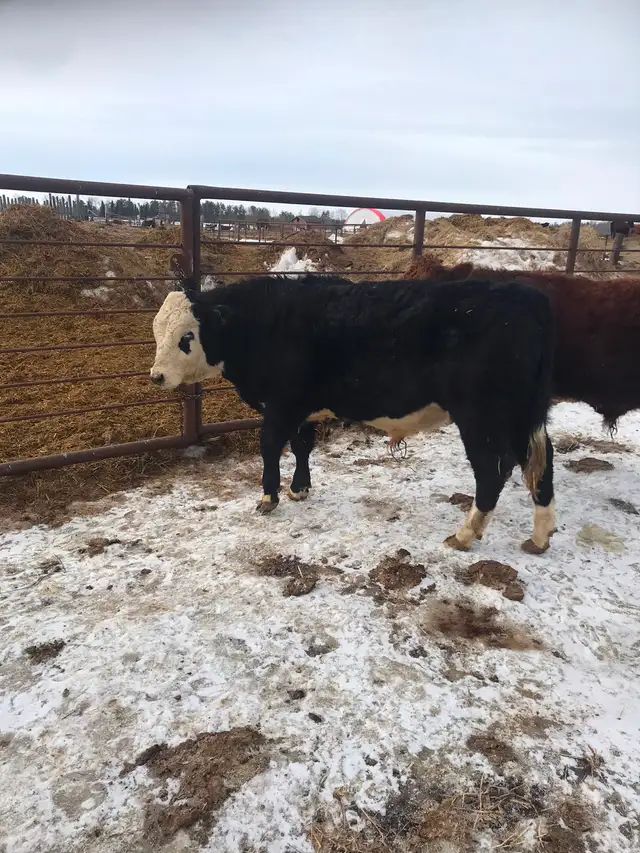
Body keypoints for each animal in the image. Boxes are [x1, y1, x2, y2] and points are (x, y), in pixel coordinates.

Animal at [150, 274, 556, 554]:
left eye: (186, 337)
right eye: (156, 333)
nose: (156, 376)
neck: (267, 323)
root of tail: (523, 297)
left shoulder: (281, 405)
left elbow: (270, 447)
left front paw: (269, 497)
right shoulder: (301, 407)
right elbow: (301, 446)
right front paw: (299, 488)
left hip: (481, 416)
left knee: (493, 470)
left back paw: (465, 534)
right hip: (522, 415)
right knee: (541, 461)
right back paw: (540, 535)